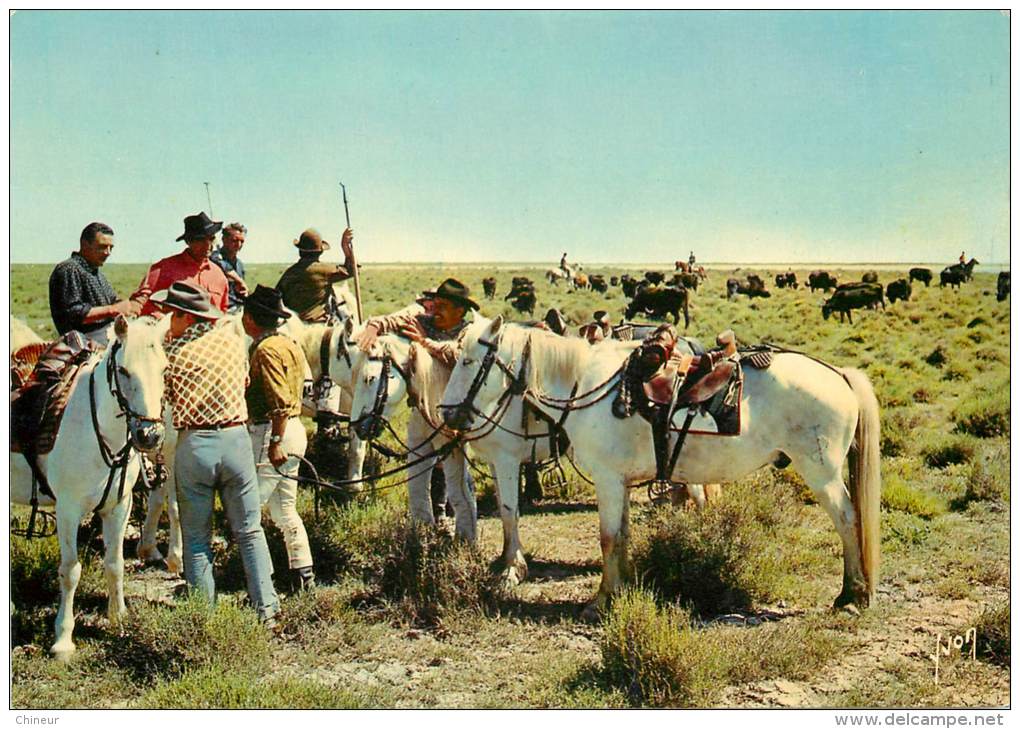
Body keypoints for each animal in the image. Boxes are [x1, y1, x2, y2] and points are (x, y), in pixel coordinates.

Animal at [11, 316, 169, 660]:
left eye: (164, 368)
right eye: (123, 370)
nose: (150, 436)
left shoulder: (118, 507)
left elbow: (115, 563)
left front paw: (118, 618)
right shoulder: (68, 510)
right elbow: (71, 571)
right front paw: (62, 639)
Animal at [350, 336, 477, 542]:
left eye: (369, 379)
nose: (357, 427)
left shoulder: (454, 449)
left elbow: (461, 494)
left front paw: (466, 541)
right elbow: (419, 491)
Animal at [442, 318, 881, 615]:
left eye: (468, 361)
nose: (447, 414)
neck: (585, 386)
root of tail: (839, 375)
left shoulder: (606, 480)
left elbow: (607, 539)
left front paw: (599, 602)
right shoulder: (620, 482)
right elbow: (621, 536)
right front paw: (621, 590)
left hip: (822, 473)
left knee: (848, 519)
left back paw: (851, 595)